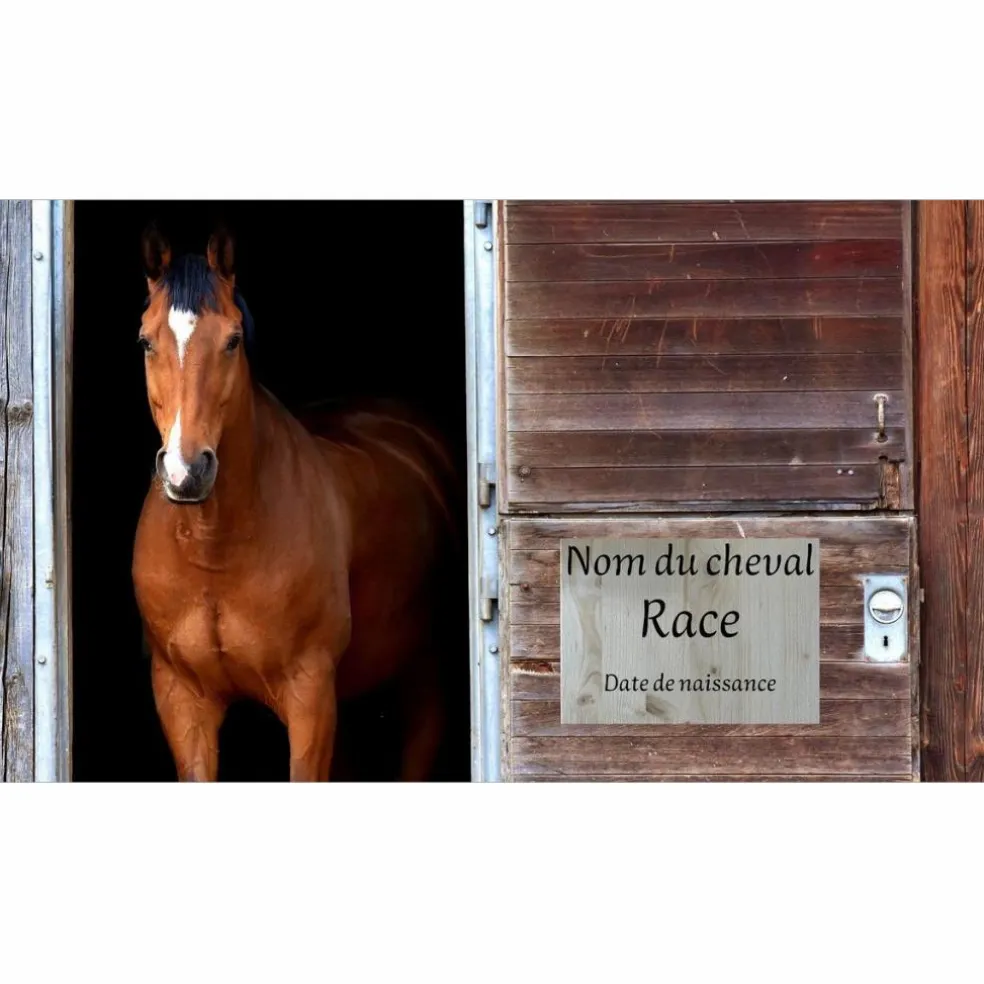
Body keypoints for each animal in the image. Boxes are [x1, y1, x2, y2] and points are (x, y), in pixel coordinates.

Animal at [130, 227, 457, 781]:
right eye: (146, 341)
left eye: (232, 340)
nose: (186, 471)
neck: (215, 551)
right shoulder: (180, 697)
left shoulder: (309, 693)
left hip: (420, 677)